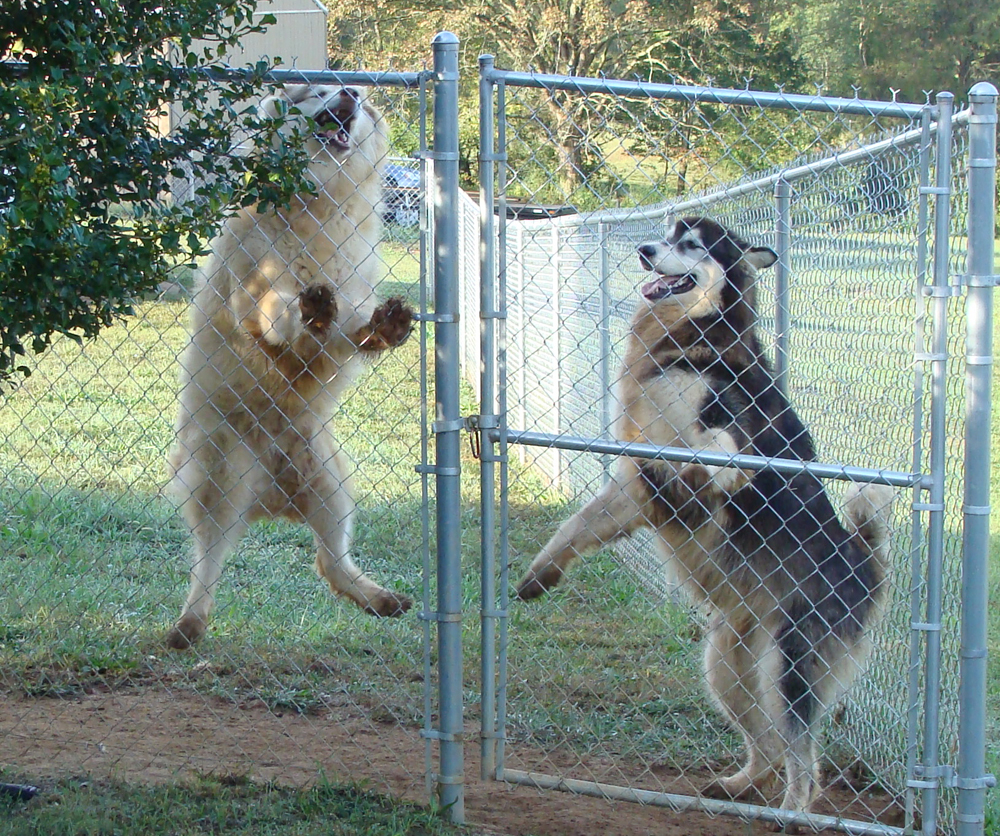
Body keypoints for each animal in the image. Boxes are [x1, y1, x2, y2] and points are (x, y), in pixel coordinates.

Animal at [167, 85, 414, 648]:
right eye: (317, 90)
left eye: (363, 105)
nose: (351, 91)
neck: (318, 204)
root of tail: (272, 502)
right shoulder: (255, 289)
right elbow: (281, 308)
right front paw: (308, 308)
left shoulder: (349, 304)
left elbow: (350, 327)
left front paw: (384, 326)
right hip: (221, 477)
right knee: (207, 563)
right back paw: (189, 623)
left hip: (331, 489)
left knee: (330, 563)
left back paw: (379, 598)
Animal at [516, 216, 892, 816]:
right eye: (666, 234)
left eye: (692, 245)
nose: (645, 250)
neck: (691, 333)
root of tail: (864, 563)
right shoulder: (638, 481)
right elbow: (577, 523)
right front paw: (541, 572)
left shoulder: (707, 445)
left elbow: (712, 455)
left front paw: (714, 473)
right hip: (727, 664)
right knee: (768, 744)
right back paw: (740, 786)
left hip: (789, 666)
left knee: (804, 757)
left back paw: (791, 811)